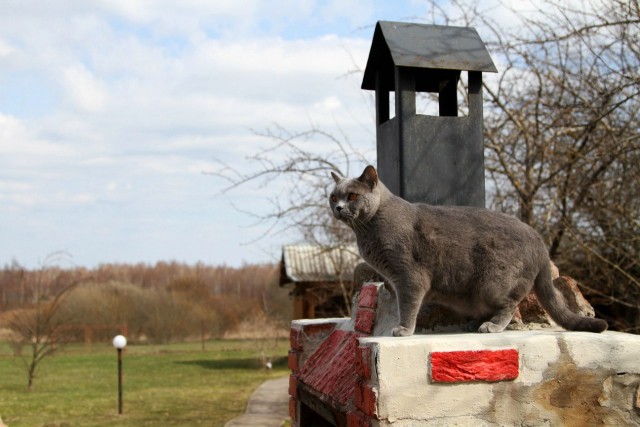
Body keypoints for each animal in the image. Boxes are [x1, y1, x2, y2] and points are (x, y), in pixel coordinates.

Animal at [332, 166, 608, 336]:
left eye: (352, 196)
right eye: (333, 196)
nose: (337, 207)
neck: (367, 230)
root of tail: (538, 240)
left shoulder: (410, 277)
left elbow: (408, 306)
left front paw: (403, 329)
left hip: (493, 284)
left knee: (510, 304)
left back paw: (491, 326)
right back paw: (475, 323)